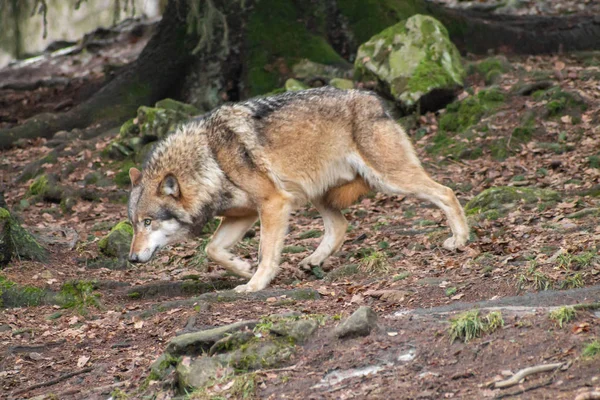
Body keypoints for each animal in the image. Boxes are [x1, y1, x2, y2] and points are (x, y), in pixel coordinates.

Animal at [129, 87, 472, 292]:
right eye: (133, 225)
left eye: (148, 222)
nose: (131, 259)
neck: (209, 159)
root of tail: (372, 98)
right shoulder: (243, 214)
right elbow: (212, 250)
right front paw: (243, 269)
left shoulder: (273, 203)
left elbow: (265, 251)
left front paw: (256, 284)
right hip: (318, 193)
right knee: (340, 226)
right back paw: (312, 261)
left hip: (389, 178)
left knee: (445, 191)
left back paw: (459, 239)